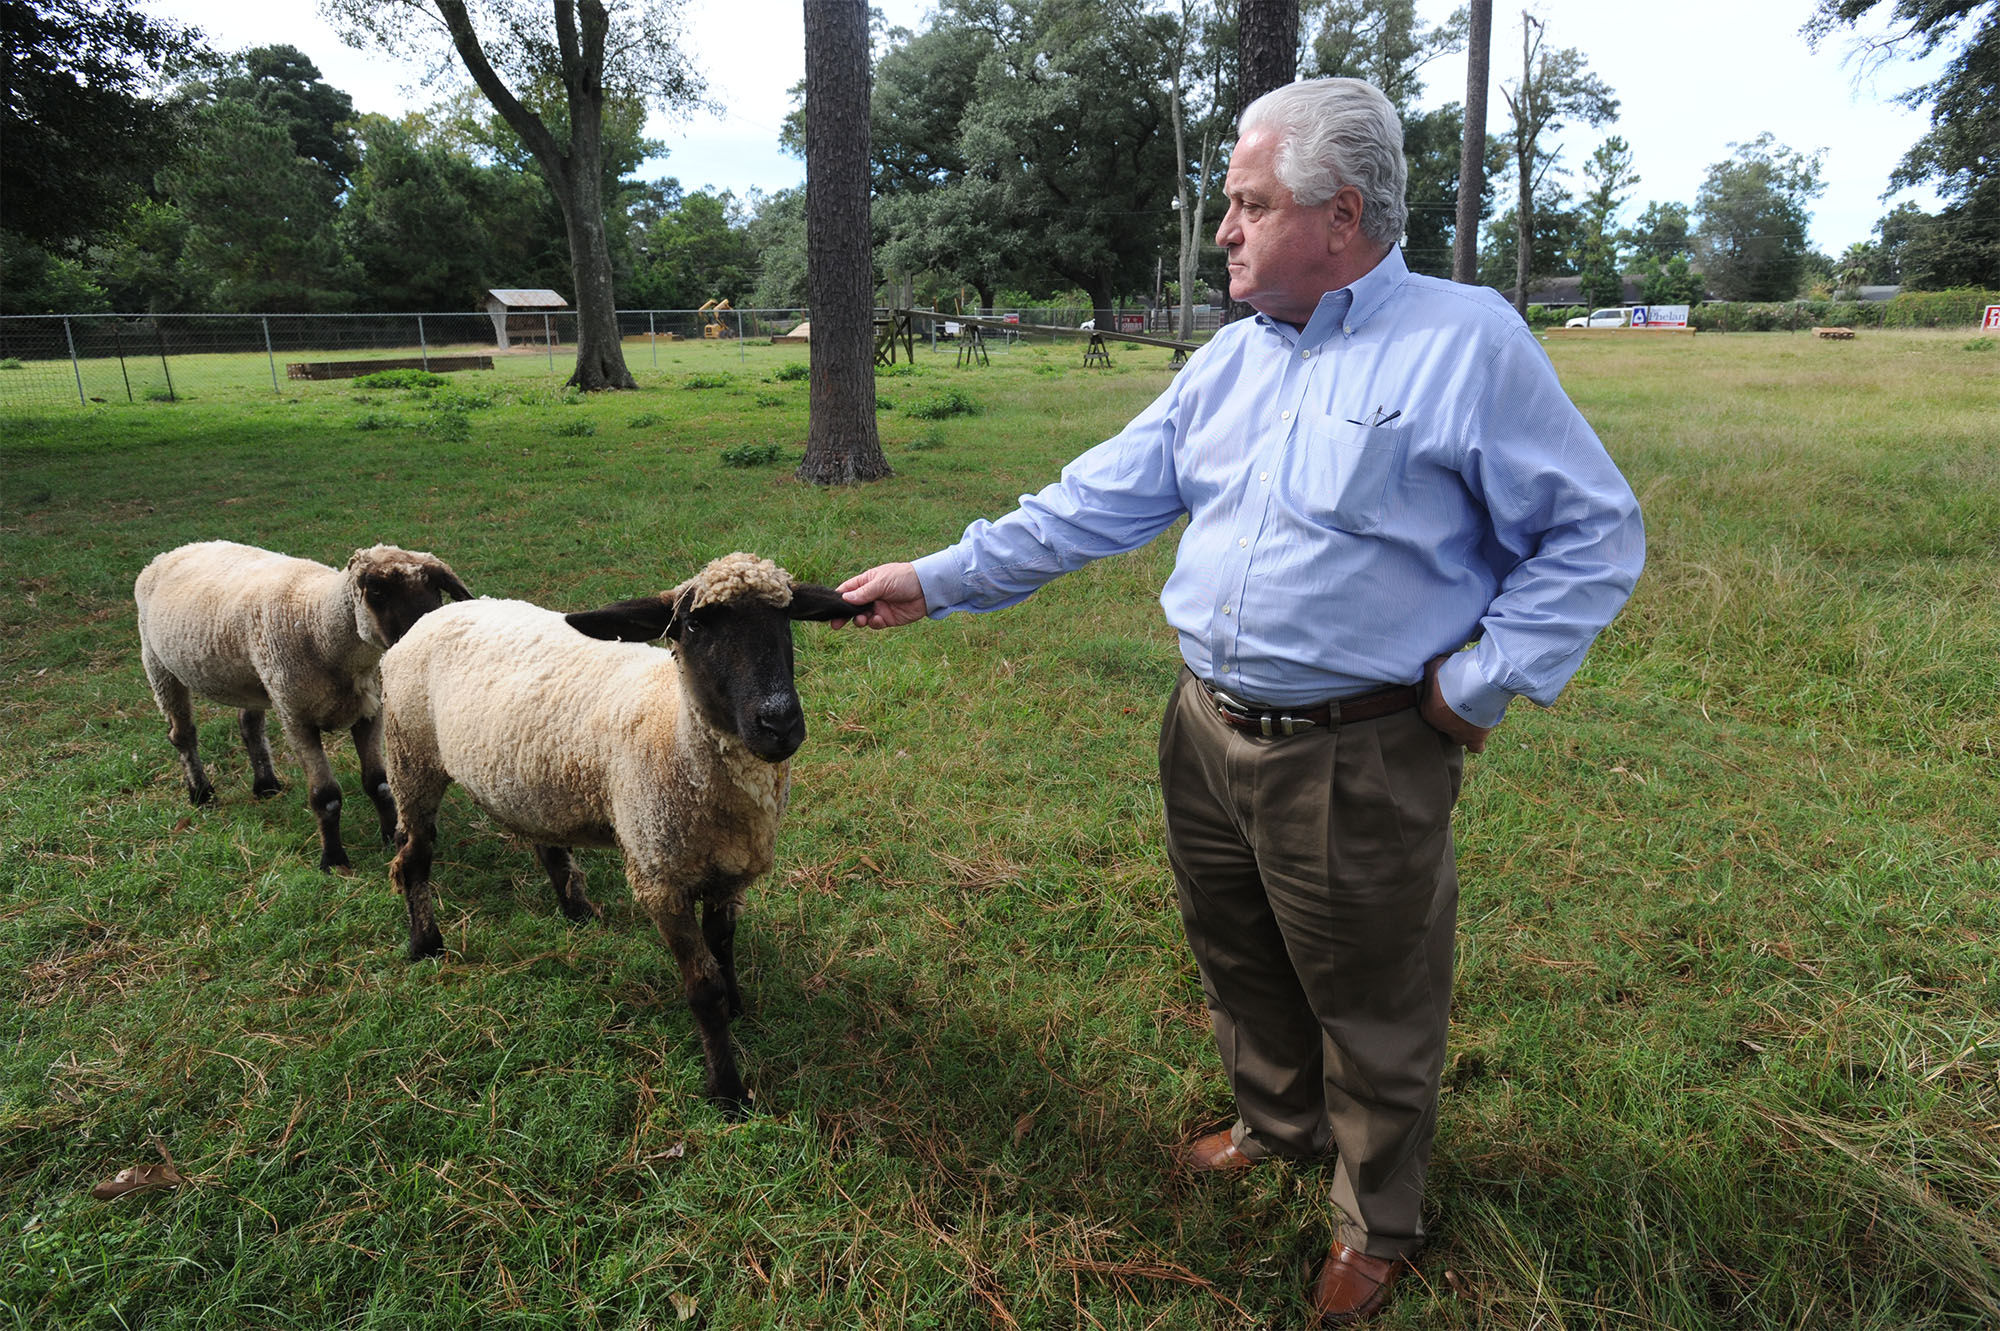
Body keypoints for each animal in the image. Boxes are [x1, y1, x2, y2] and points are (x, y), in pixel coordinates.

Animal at [136, 539, 472, 871]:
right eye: (376, 590)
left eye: (436, 586)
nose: (425, 633)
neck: (317, 622)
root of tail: (174, 551)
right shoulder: (297, 719)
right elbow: (326, 796)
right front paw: (333, 859)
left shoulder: (368, 712)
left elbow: (378, 783)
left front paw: (391, 836)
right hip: (158, 664)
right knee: (182, 734)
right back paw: (201, 792)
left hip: (255, 678)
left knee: (249, 724)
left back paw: (266, 785)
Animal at [380, 547, 852, 1111]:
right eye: (695, 624)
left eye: (786, 617)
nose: (779, 723)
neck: (675, 731)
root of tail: (431, 618)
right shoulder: (658, 879)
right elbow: (703, 987)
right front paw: (727, 1090)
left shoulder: (725, 873)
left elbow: (723, 951)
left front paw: (738, 1007)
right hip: (411, 758)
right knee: (414, 857)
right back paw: (426, 944)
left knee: (544, 845)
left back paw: (577, 911)